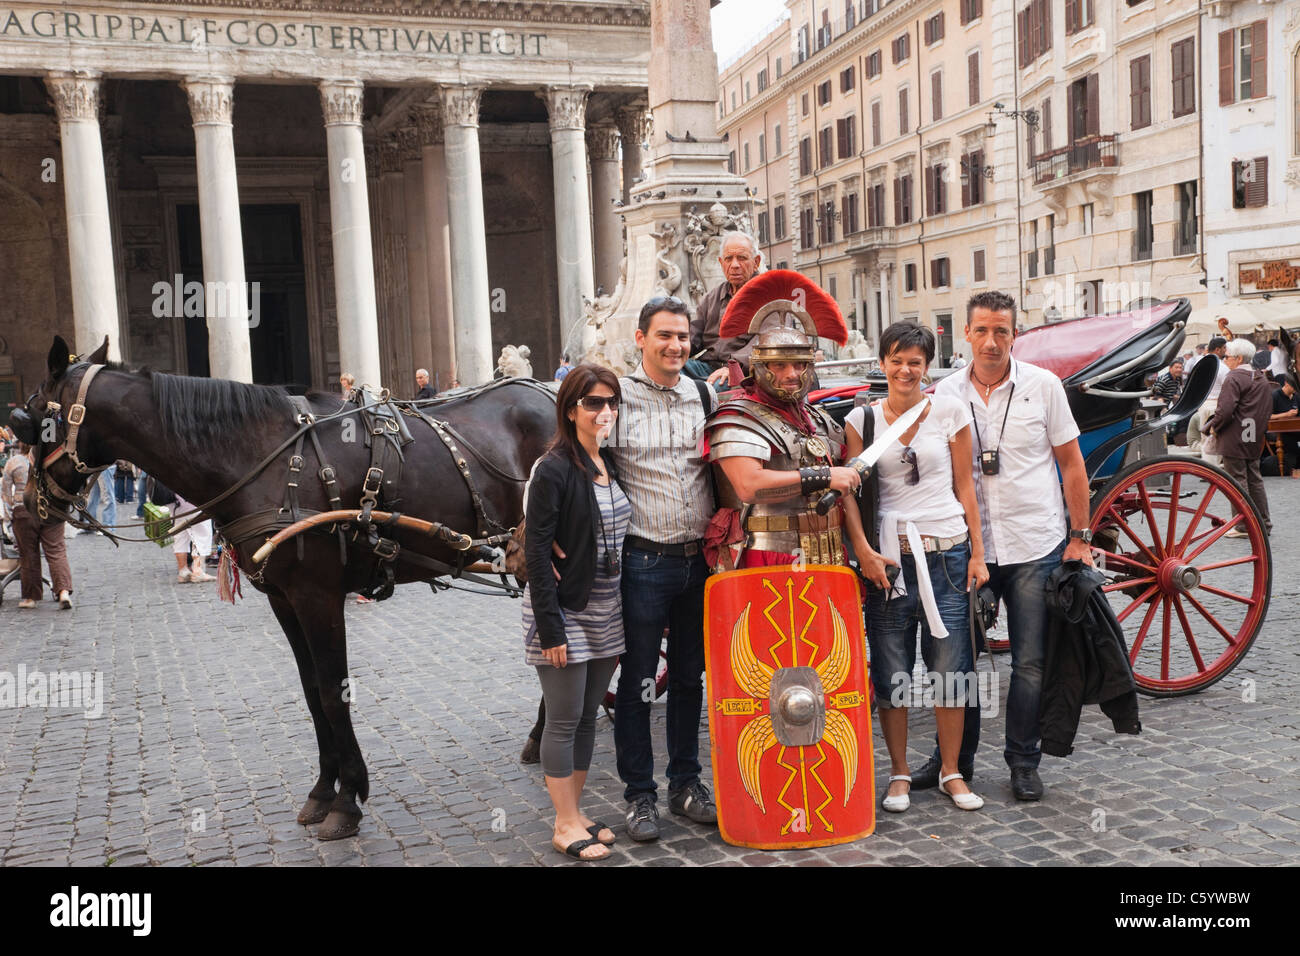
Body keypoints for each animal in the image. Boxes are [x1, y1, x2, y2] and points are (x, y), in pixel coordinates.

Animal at [15, 335, 553, 837]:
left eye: (31, 417)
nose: (31, 500)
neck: (261, 461)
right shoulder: (284, 599)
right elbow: (312, 692)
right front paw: (323, 790)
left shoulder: (318, 595)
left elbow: (334, 692)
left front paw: (347, 800)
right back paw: (543, 735)